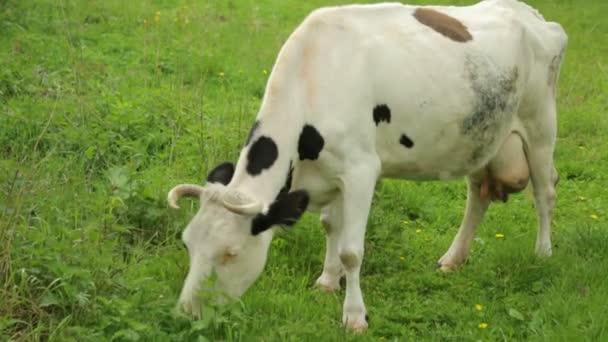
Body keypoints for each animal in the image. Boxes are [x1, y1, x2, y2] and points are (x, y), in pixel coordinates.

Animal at [165, 0, 564, 332]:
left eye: (230, 252)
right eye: (187, 244)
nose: (187, 313)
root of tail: (534, 15)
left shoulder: (361, 170)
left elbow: (351, 250)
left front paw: (355, 316)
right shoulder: (331, 174)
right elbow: (331, 226)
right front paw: (327, 281)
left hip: (540, 127)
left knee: (544, 192)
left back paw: (544, 254)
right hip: (482, 138)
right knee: (478, 197)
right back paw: (453, 259)